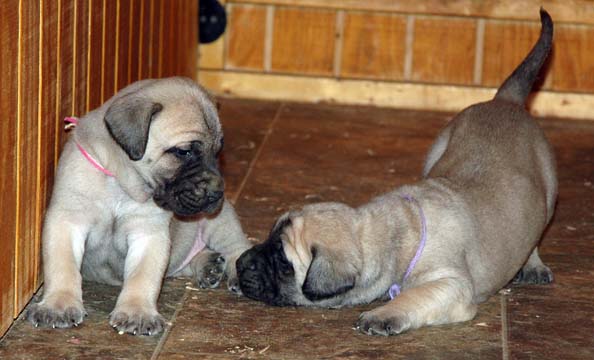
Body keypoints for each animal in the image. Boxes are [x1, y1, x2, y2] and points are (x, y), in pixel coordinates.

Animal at [26, 77, 250, 336]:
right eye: (183, 152)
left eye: (217, 151)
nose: (216, 193)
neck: (120, 183)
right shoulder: (68, 220)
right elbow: (63, 265)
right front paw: (58, 305)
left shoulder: (148, 234)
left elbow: (143, 276)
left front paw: (137, 313)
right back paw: (207, 264)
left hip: (221, 221)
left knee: (237, 247)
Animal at [235, 9, 556, 336]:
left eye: (283, 262)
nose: (241, 262)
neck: (393, 236)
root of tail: (505, 101)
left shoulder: (451, 284)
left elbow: (414, 295)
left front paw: (382, 314)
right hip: (437, 150)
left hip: (549, 192)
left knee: (536, 233)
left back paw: (533, 264)